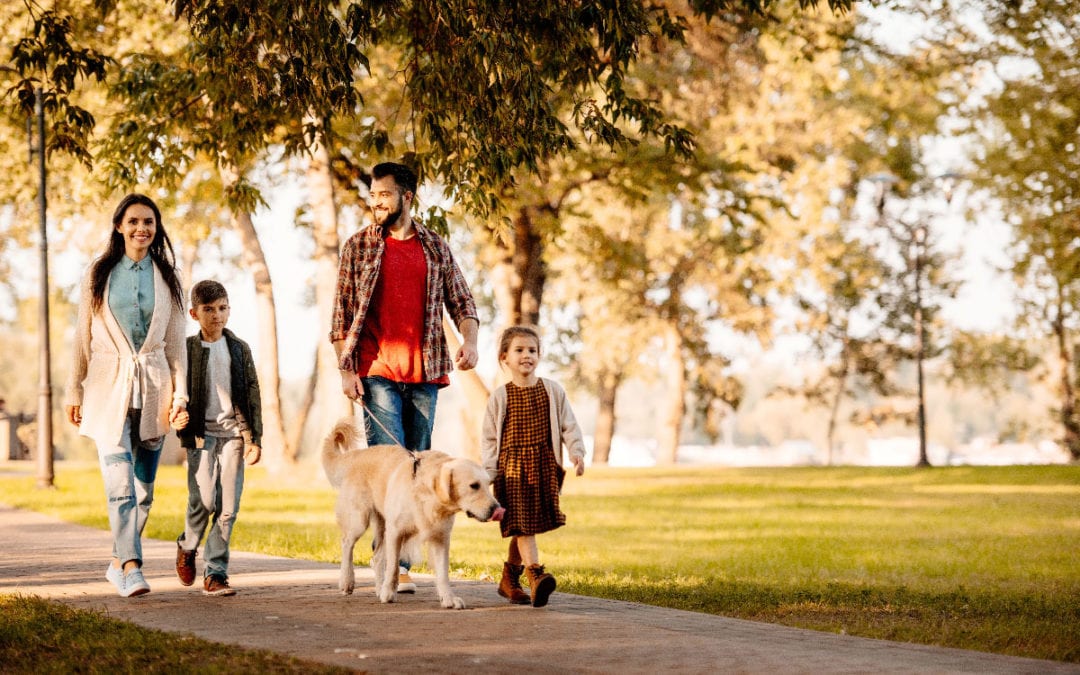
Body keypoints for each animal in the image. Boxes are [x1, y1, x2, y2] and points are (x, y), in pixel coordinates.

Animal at [321, 419, 503, 609]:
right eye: (474, 486)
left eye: (488, 484)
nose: (496, 509)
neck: (426, 495)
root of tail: (358, 454)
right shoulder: (396, 531)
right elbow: (393, 567)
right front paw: (388, 593)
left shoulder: (440, 536)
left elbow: (443, 573)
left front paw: (448, 598)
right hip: (359, 519)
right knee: (347, 543)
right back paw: (347, 581)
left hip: (382, 524)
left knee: (377, 557)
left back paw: (378, 588)